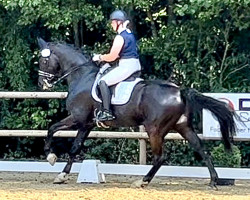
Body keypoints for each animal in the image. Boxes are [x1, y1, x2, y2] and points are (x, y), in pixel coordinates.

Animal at [36, 37, 237, 188]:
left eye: (43, 60)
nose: (41, 84)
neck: (81, 76)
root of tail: (179, 91)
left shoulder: (77, 118)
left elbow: (52, 128)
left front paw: (51, 157)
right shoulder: (87, 124)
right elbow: (75, 147)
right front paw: (62, 175)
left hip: (154, 129)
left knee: (160, 157)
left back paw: (142, 181)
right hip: (183, 126)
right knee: (202, 149)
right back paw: (214, 180)